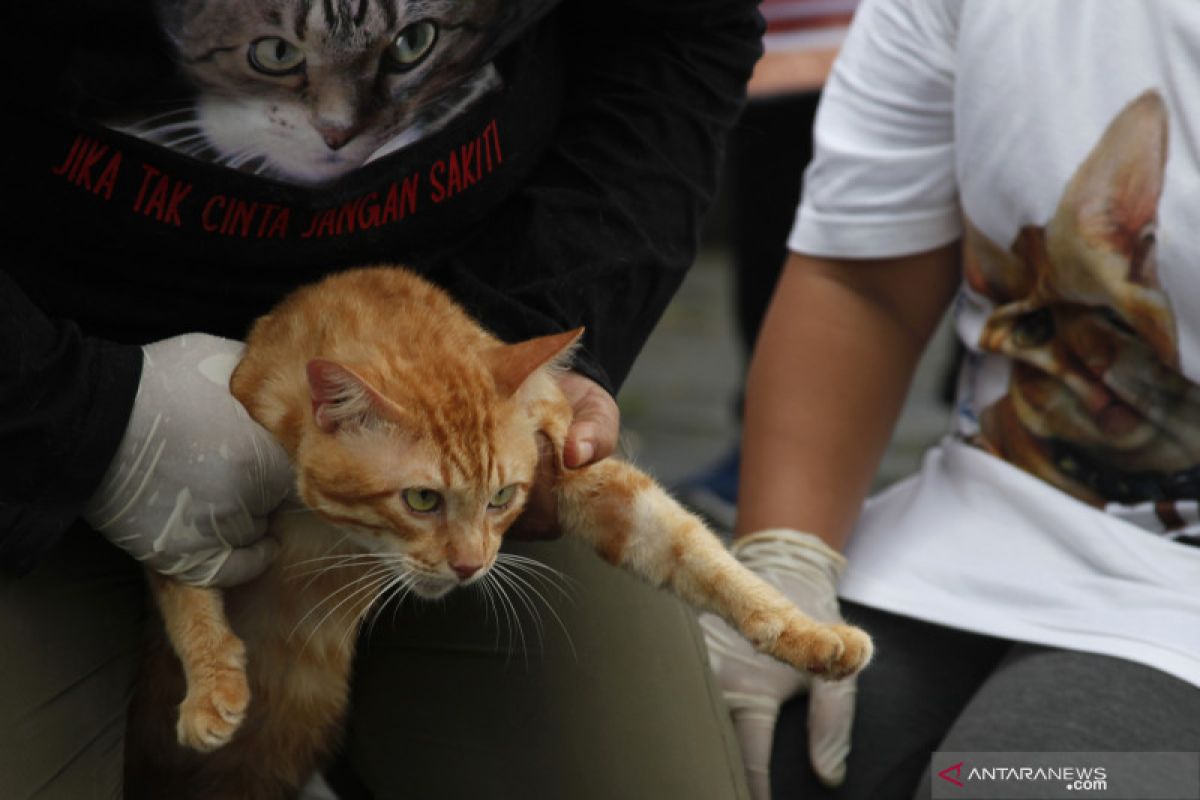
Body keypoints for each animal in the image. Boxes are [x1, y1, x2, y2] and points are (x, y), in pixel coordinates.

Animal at [124, 266, 873, 796]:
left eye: (502, 498)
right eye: (422, 499)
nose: (470, 568)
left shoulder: (578, 466)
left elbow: (695, 550)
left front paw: (811, 632)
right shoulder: (201, 482)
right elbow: (178, 568)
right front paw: (213, 683)